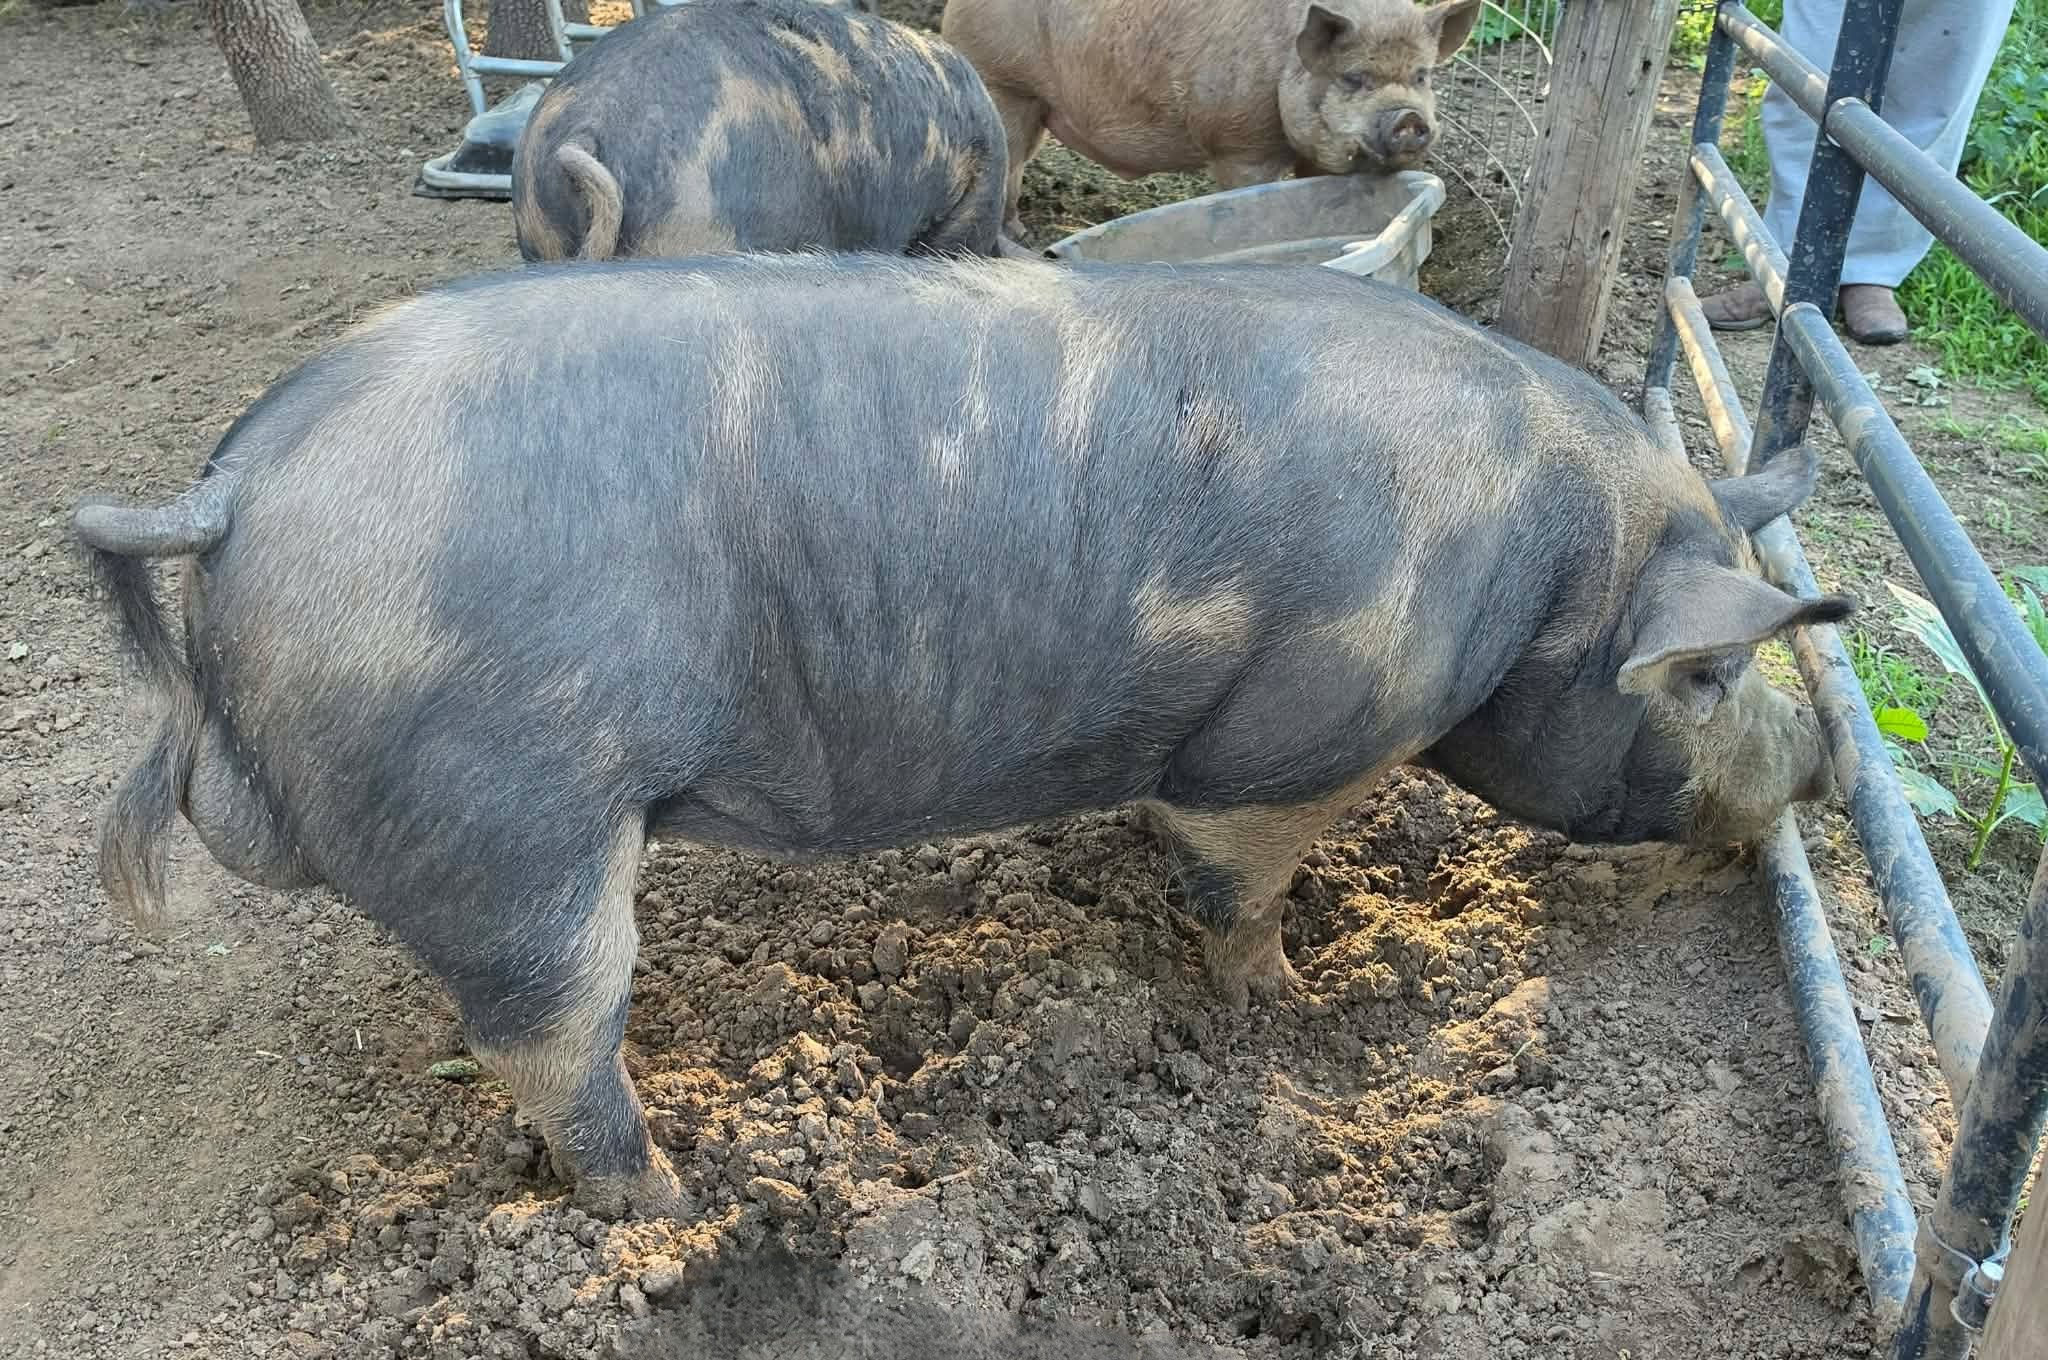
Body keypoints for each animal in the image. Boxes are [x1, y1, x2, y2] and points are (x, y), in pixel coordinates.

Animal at [73, 253, 1849, 1222]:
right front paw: (1290, 1006)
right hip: (515, 816)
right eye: (1709, 677)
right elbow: (1243, 885)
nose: (1823, 768)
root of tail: (232, 492)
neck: (1552, 571)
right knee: (549, 1030)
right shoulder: (1295, 740)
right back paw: (675, 1202)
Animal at [938, 0, 1484, 238]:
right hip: (1004, 82)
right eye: (1354, 78)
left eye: (1422, 75)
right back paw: (1015, 236)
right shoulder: (1240, 142)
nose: (1410, 120)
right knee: (1008, 157)